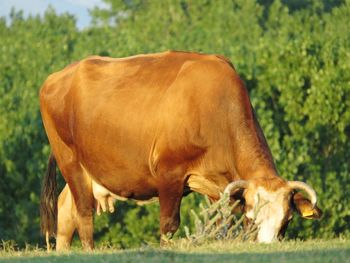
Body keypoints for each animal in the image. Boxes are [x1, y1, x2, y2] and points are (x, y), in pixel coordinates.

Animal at [39, 50, 322, 251]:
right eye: (251, 218)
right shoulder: (169, 175)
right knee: (84, 214)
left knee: (67, 212)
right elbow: (169, 225)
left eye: (287, 221)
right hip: (70, 161)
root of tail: (59, 76)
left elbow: (221, 226)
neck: (215, 108)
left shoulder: (218, 187)